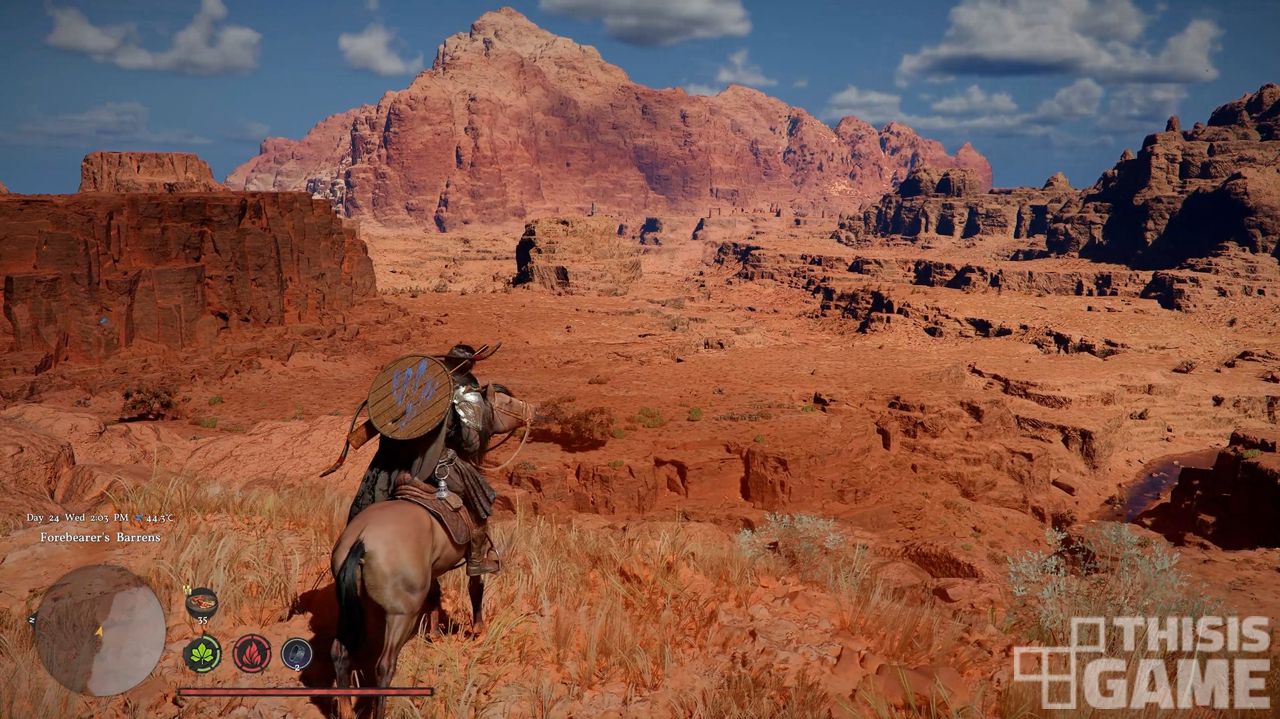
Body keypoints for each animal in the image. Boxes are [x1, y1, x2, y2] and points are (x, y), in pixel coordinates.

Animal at [328, 389, 533, 719]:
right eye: (505, 402)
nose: (532, 411)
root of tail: (361, 540)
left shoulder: (433, 569)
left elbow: (436, 594)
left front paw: (435, 635)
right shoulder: (477, 543)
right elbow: (476, 585)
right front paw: (478, 630)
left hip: (352, 605)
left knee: (340, 652)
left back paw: (346, 710)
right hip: (401, 615)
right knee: (384, 666)